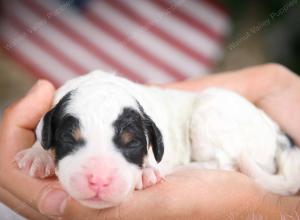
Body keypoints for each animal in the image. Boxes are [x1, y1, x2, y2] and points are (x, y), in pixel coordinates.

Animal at [15, 70, 300, 208]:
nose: (99, 180)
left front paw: (147, 171)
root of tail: (275, 132)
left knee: (223, 163)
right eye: (69, 139)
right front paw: (37, 155)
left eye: (132, 143)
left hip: (210, 111)